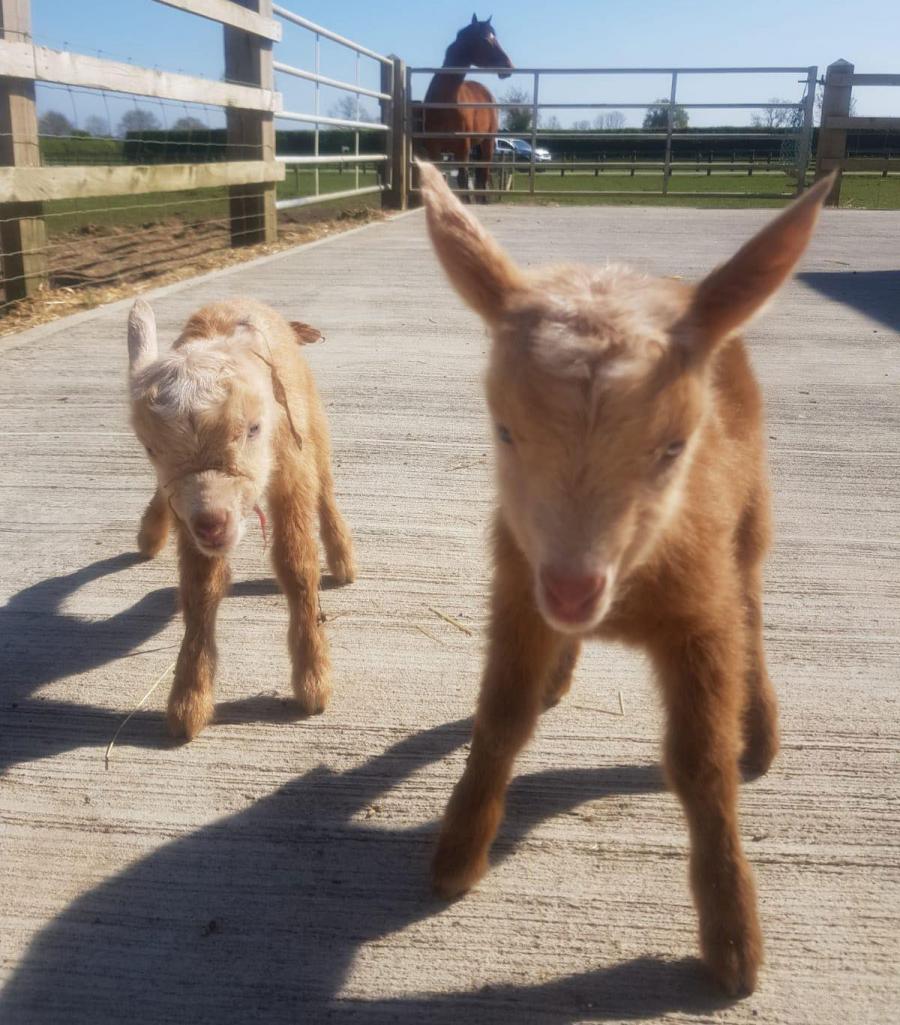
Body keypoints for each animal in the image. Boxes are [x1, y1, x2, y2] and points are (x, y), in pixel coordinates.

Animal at [422, 16, 514, 197]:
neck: (445, 103)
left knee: (482, 180)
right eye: (485, 39)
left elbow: (463, 182)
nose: (509, 66)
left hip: (487, 145)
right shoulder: (433, 149)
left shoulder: (462, 150)